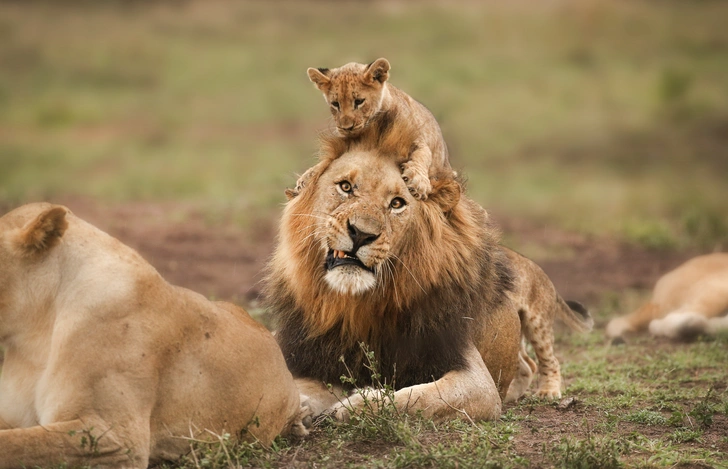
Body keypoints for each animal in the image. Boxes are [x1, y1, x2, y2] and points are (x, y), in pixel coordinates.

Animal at [264, 112, 520, 420]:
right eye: (346, 187)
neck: (354, 307)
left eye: (397, 203)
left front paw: (353, 405)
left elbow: (420, 398)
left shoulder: (479, 382)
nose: (361, 234)